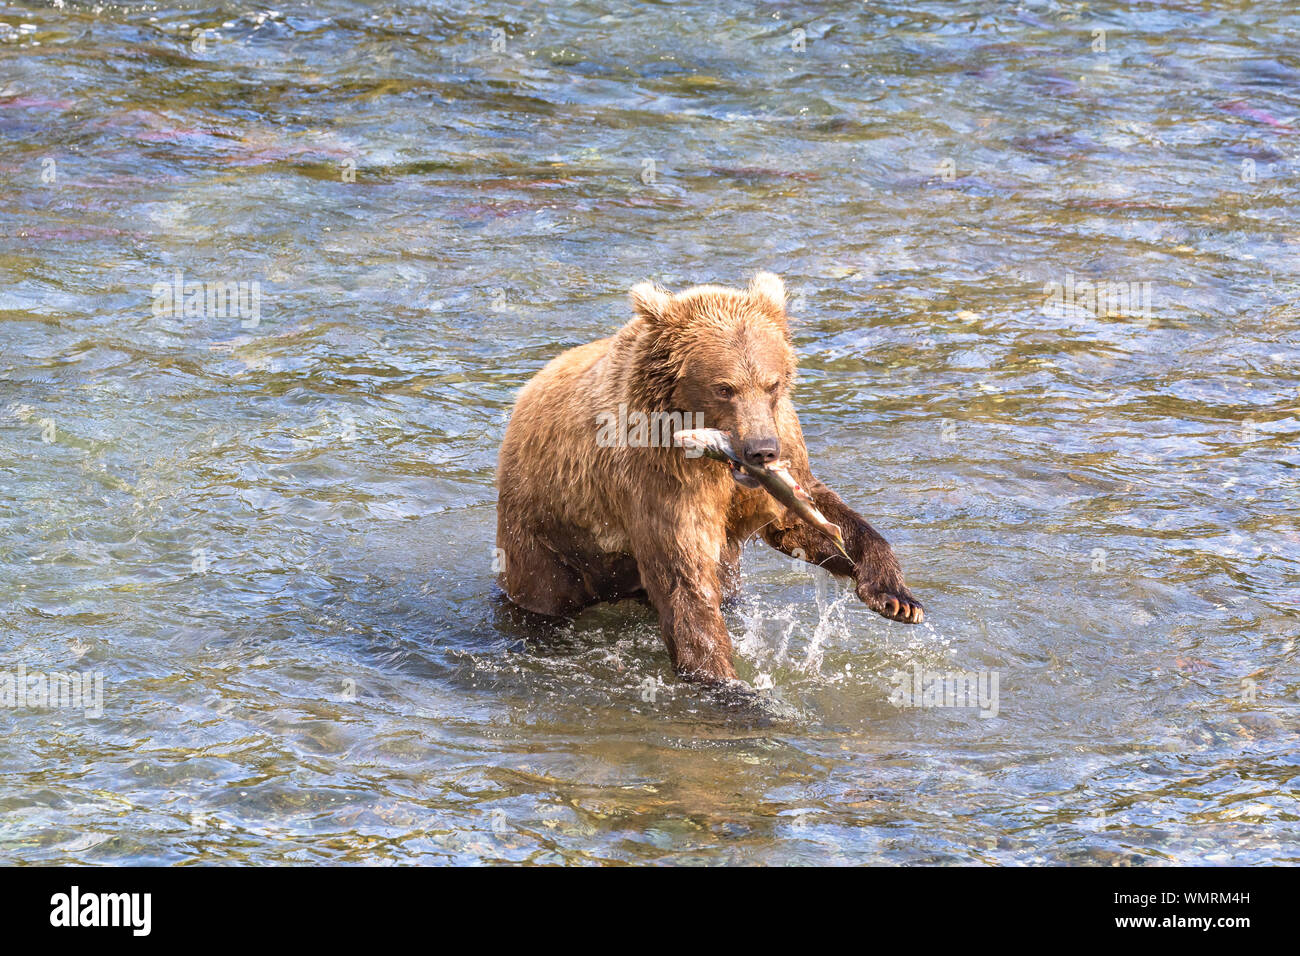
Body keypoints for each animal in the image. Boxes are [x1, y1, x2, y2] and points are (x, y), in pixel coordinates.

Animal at [491, 273, 920, 686]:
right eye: (724, 387)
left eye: (772, 383)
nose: (762, 450)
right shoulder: (658, 477)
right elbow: (684, 576)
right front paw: (729, 686)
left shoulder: (778, 452)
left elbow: (803, 518)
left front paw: (897, 597)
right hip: (541, 535)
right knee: (543, 594)